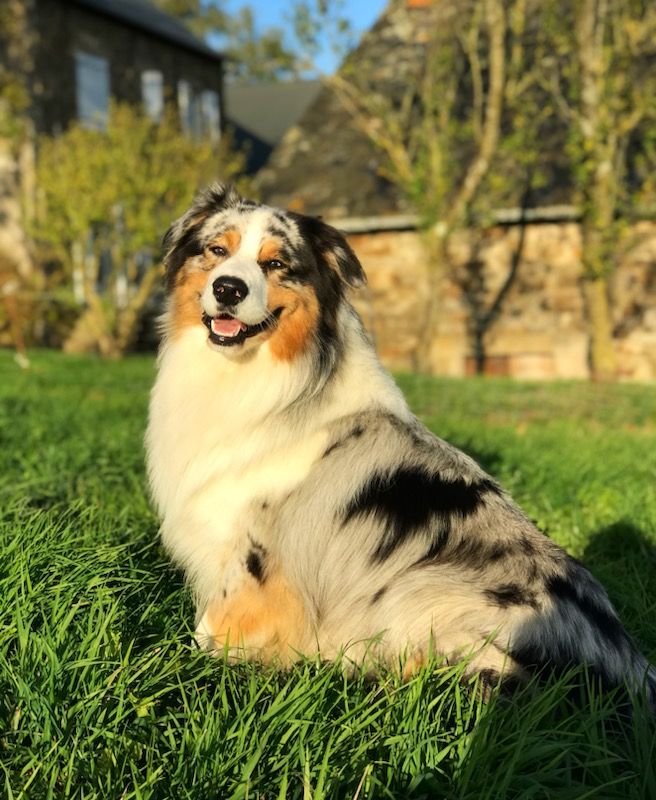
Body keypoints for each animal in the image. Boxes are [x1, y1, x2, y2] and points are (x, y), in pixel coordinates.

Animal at [147, 184, 656, 704]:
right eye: (217, 250)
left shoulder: (256, 555)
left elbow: (209, 631)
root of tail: (631, 670)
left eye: (276, 264)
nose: (229, 289)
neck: (262, 374)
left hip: (422, 588)